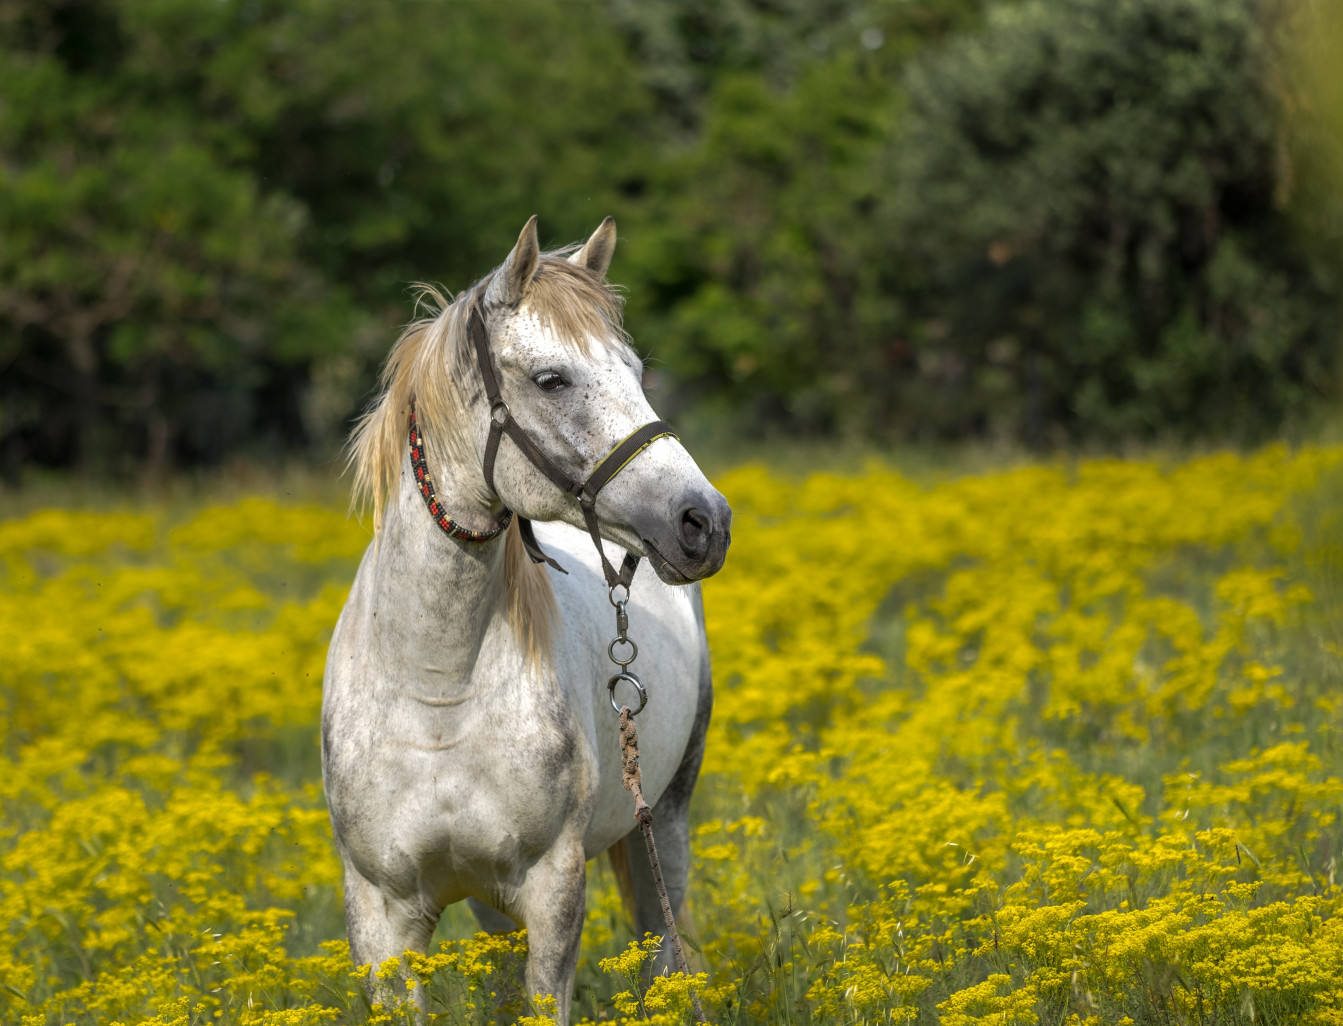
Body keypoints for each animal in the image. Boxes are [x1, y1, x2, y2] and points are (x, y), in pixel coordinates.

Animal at [320, 214, 730, 1020]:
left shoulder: (552, 890)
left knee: (661, 956)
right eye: (551, 379)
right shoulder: (381, 914)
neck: (436, 689)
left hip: (663, 823)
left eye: (637, 372)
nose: (704, 522)